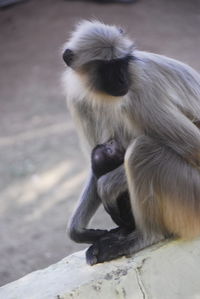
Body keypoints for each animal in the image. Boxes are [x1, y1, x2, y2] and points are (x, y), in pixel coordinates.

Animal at [62, 19, 200, 266]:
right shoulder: (79, 100)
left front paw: (107, 185)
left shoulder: (139, 86)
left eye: (122, 63)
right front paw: (78, 231)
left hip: (192, 193)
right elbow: (95, 161)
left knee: (142, 149)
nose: (121, 79)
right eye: (106, 69)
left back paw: (146, 235)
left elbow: (195, 147)